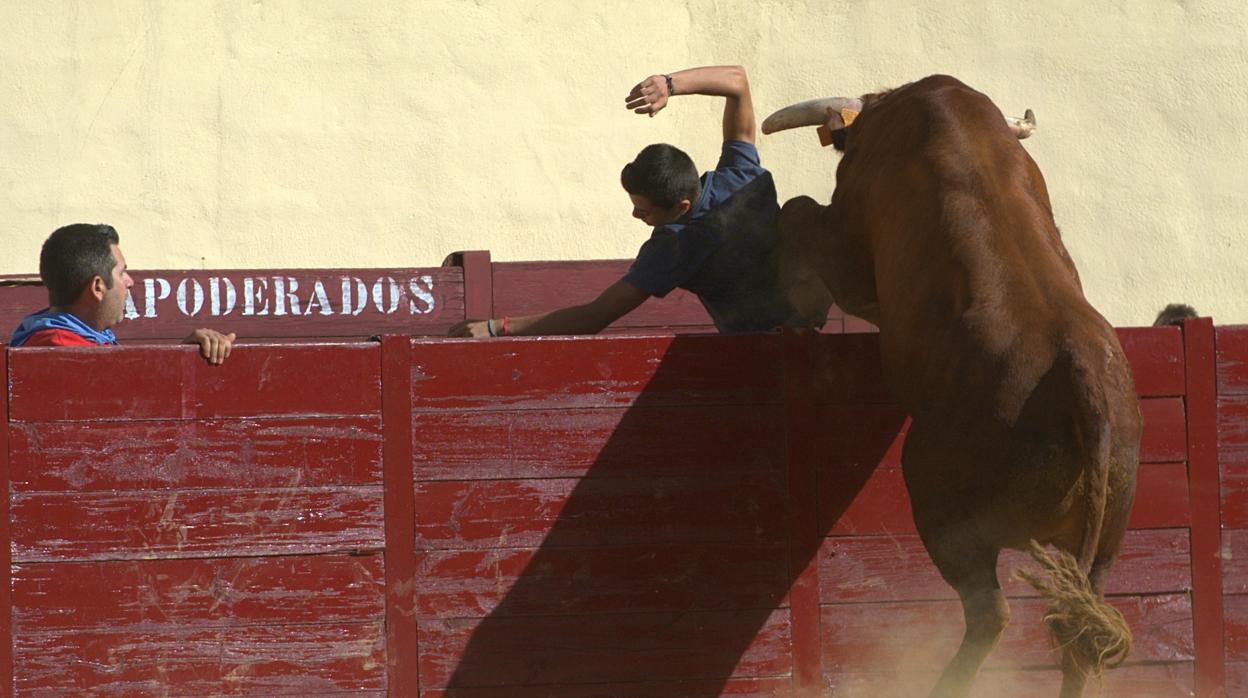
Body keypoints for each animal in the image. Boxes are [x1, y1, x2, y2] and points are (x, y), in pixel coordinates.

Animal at [758, 73, 1143, 694]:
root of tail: (1077, 367)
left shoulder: (849, 250)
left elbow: (798, 212)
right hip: (1106, 536)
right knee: (1079, 630)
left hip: (943, 508)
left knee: (991, 612)